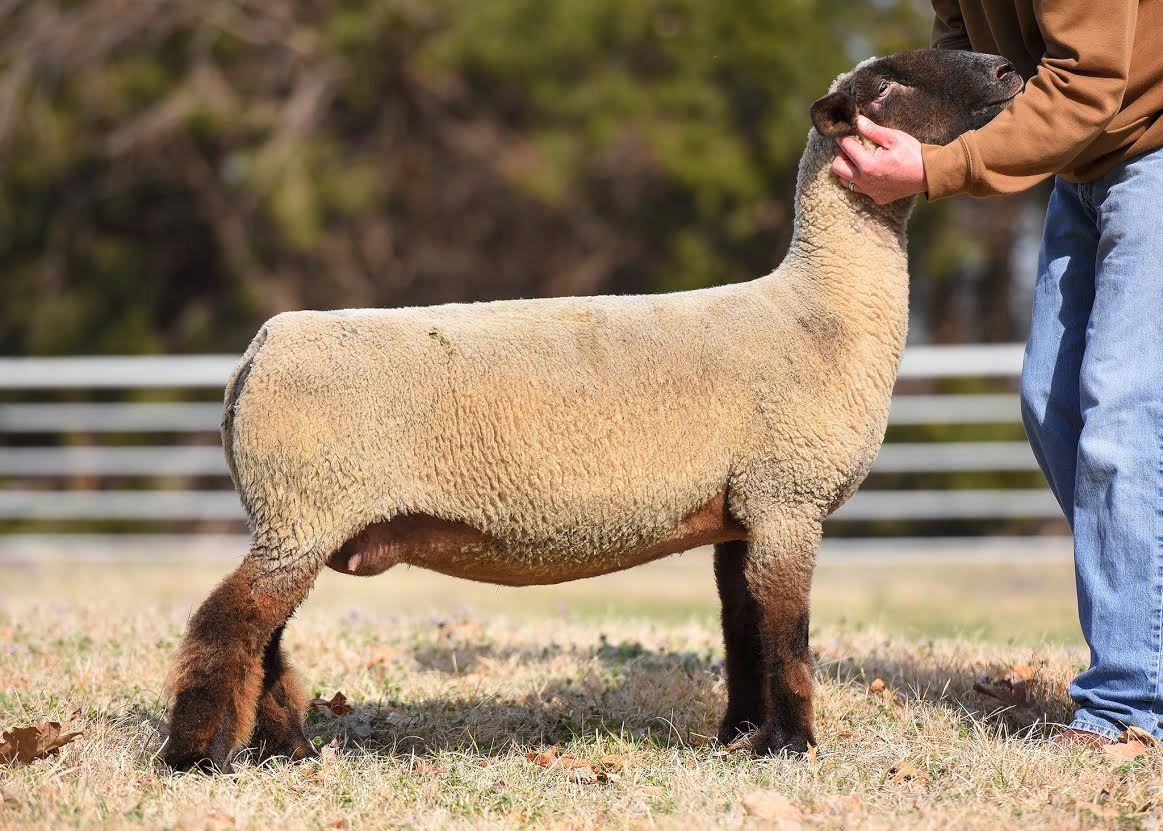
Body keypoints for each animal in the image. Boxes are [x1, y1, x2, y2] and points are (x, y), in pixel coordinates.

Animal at [163, 48, 1021, 772]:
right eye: (885, 86)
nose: (1007, 68)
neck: (820, 312)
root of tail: (255, 354)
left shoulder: (742, 512)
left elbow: (742, 629)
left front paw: (740, 735)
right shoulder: (787, 499)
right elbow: (787, 637)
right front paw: (790, 746)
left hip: (301, 516)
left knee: (265, 639)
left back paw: (287, 749)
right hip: (303, 506)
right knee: (227, 625)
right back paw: (199, 755)